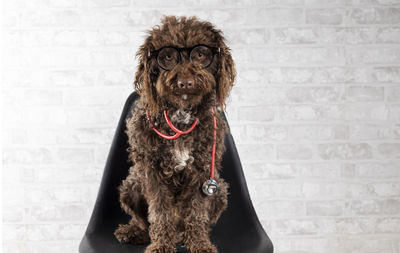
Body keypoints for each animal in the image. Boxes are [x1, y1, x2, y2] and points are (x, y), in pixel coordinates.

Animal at [114, 15, 236, 253]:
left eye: (200, 54)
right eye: (168, 56)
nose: (185, 83)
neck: (181, 115)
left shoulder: (202, 172)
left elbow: (196, 213)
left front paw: (199, 244)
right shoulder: (151, 171)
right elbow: (160, 213)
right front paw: (161, 245)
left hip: (219, 190)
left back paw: (183, 236)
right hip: (131, 184)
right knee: (143, 220)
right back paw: (134, 231)